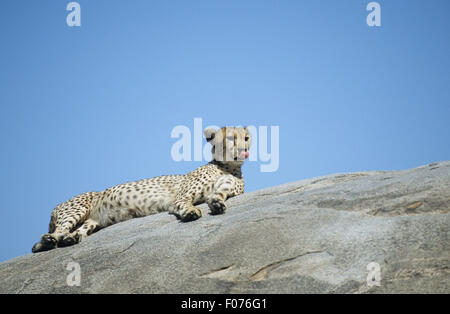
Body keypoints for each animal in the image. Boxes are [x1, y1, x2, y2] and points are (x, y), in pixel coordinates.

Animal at [31, 126, 251, 251]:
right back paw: (51, 240)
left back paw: (68, 239)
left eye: (246, 138)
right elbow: (183, 202)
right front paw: (190, 211)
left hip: (92, 221)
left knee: (74, 232)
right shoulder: (181, 196)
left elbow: (218, 195)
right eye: (231, 138)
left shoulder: (226, 187)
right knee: (58, 230)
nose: (244, 149)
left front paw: (217, 204)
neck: (228, 166)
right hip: (77, 208)